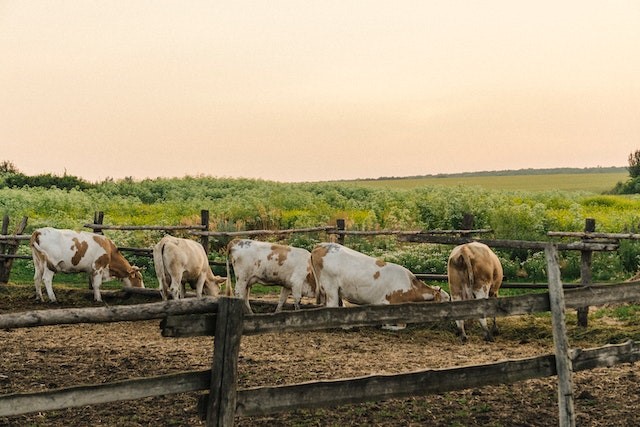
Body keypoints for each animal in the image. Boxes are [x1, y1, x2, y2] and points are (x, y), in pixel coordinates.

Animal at [310, 244, 450, 332]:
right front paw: (386, 326)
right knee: (332, 306)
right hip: (330, 287)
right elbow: (402, 325)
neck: (410, 286)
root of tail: (321, 245)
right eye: (446, 300)